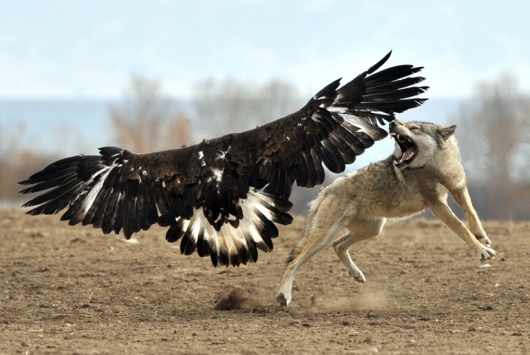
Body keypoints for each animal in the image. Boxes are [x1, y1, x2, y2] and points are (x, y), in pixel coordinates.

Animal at [276, 119, 496, 306]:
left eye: (414, 127)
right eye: (405, 123)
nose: (391, 122)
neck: (437, 167)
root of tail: (327, 190)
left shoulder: (458, 188)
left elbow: (471, 212)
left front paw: (482, 237)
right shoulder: (436, 203)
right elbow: (460, 227)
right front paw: (482, 251)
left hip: (372, 230)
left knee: (337, 245)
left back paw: (356, 274)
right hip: (325, 236)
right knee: (293, 263)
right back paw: (283, 296)